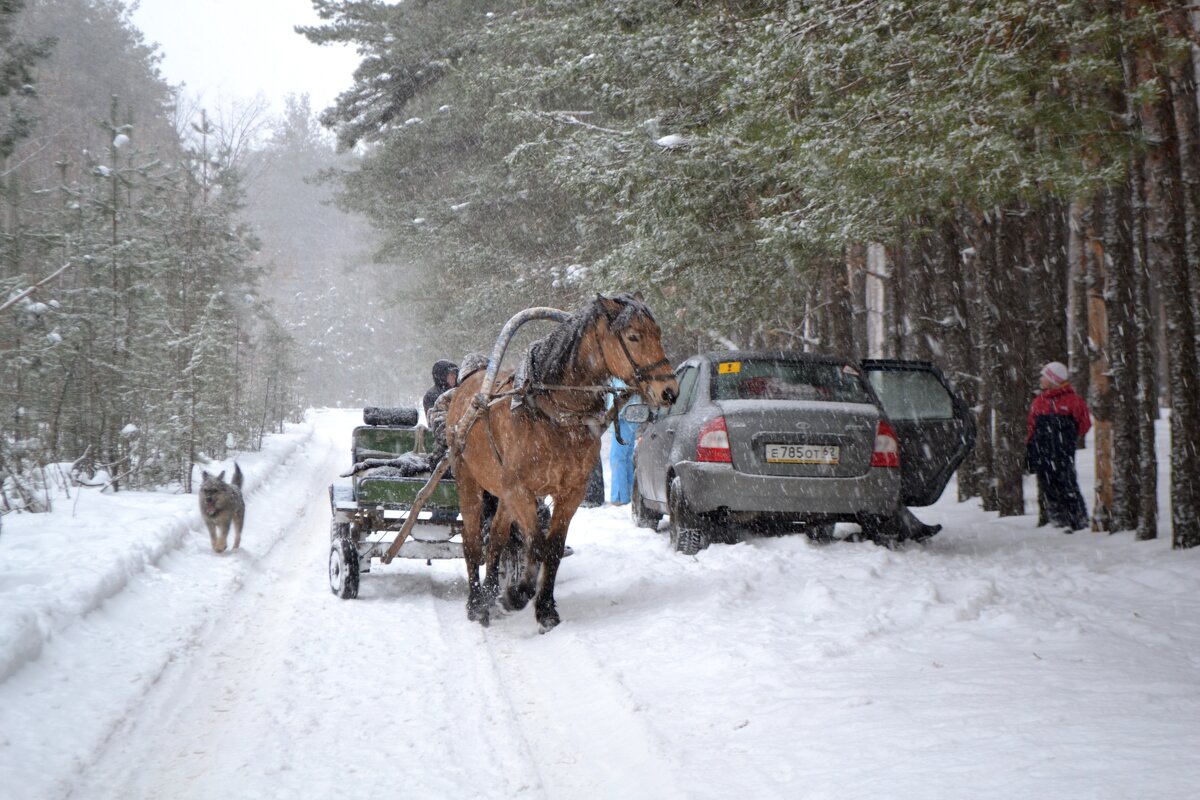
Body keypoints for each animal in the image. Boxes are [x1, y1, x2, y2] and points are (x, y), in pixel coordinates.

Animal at [446, 293, 681, 633]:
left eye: (658, 333)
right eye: (633, 336)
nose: (669, 391)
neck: (553, 410)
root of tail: (466, 388)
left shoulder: (570, 492)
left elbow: (552, 548)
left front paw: (544, 608)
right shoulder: (521, 490)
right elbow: (536, 544)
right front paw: (519, 593)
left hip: (502, 492)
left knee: (498, 538)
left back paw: (491, 592)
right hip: (468, 481)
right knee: (473, 541)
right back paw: (477, 603)